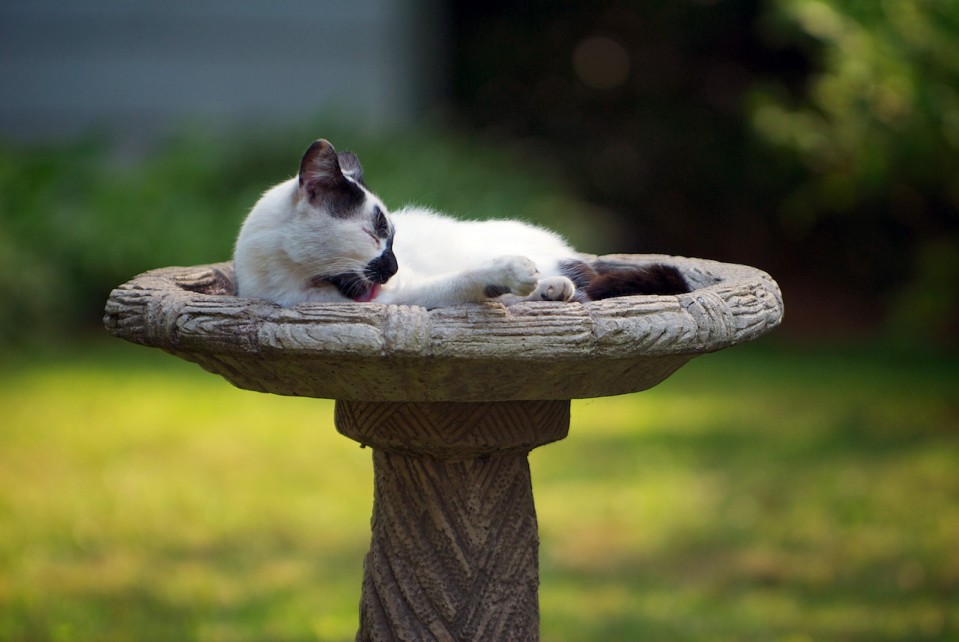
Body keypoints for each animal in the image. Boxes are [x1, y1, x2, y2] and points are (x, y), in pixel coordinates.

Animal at [233, 139, 688, 308]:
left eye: (391, 239)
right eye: (375, 235)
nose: (393, 266)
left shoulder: (405, 294)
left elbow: (467, 279)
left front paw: (512, 272)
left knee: (588, 278)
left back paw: (549, 285)